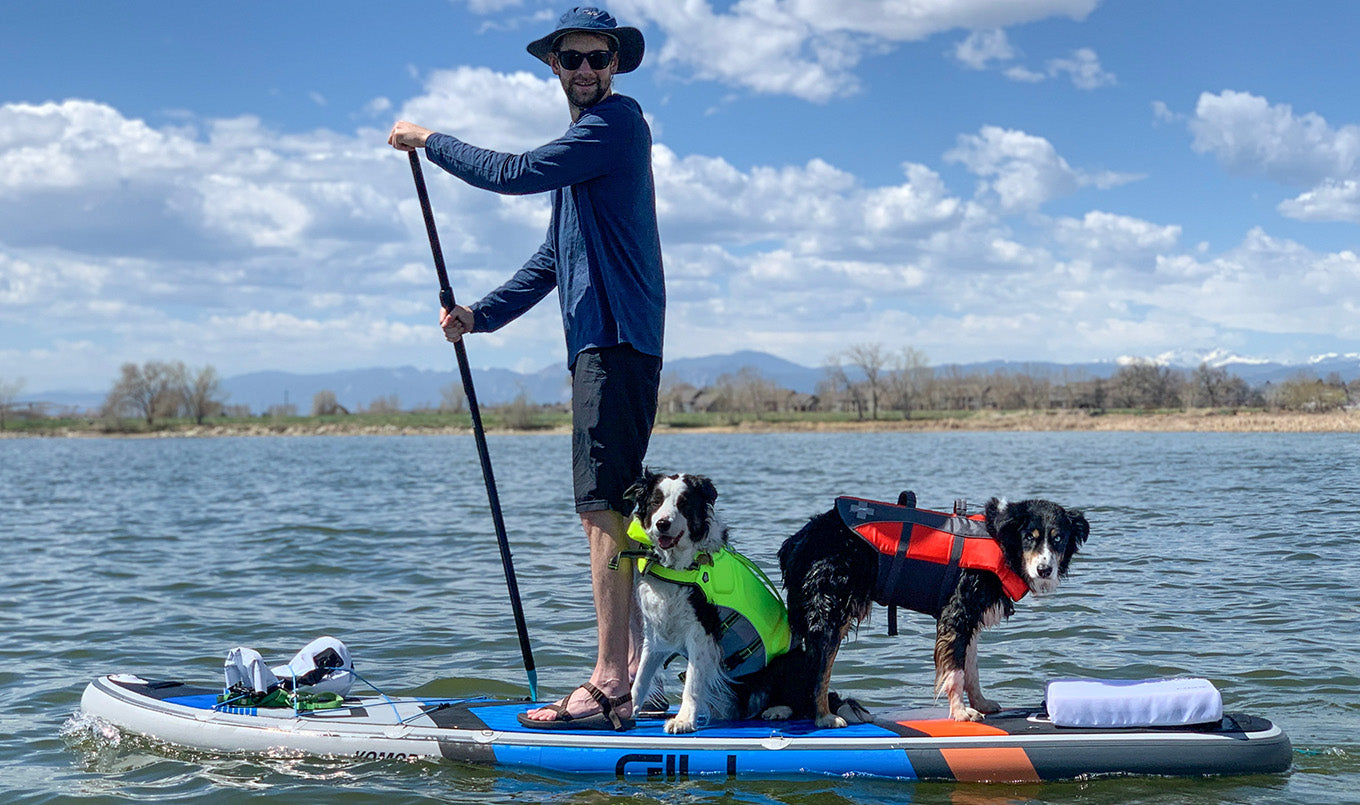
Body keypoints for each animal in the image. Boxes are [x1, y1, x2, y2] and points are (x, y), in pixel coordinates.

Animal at [783, 494, 1088, 728]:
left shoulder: (970, 619)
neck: (1000, 542)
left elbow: (971, 669)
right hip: (830, 612)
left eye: (1058, 539)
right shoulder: (957, 613)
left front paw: (981, 703)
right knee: (819, 671)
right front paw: (961, 712)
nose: (1044, 570)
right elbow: (955, 672)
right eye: (1028, 537)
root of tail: (801, 538)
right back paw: (824, 716)